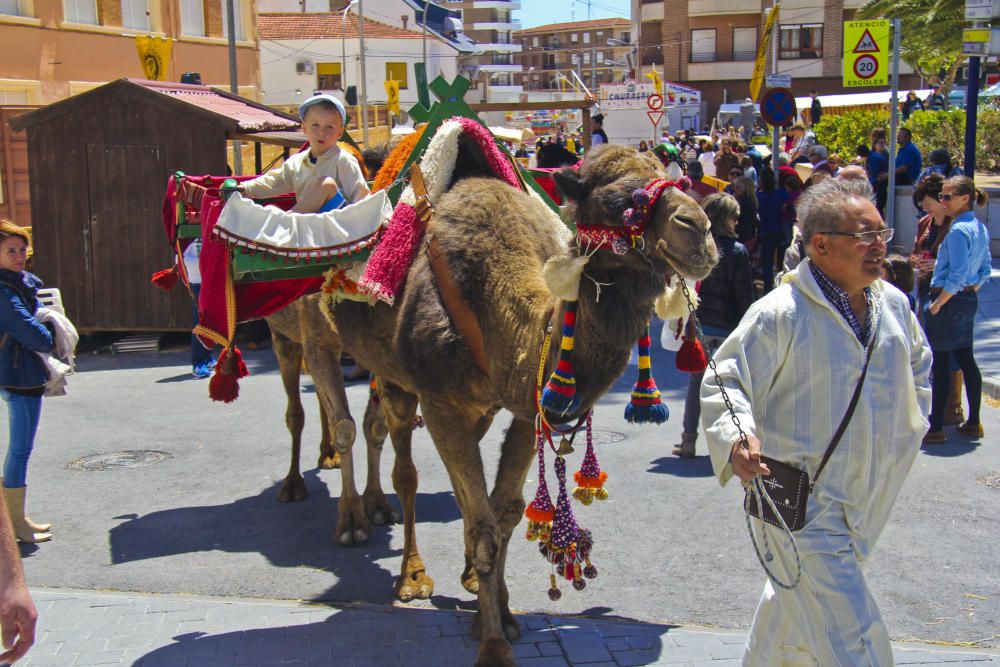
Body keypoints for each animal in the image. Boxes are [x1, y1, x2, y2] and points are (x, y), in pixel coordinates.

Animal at [328, 144, 720, 664]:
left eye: (674, 180)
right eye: (621, 202)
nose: (700, 230)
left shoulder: (526, 407)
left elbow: (506, 513)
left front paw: (501, 613)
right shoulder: (439, 400)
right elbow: (484, 528)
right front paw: (493, 644)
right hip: (388, 372)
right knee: (400, 467)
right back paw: (404, 569)